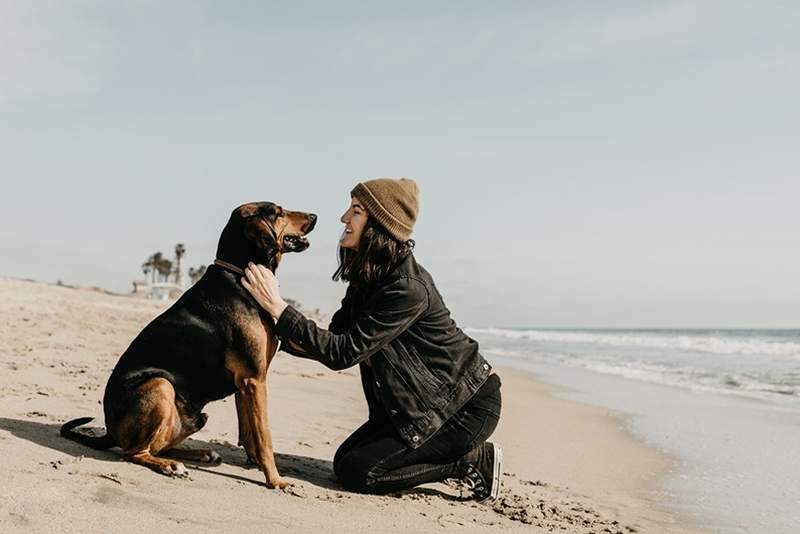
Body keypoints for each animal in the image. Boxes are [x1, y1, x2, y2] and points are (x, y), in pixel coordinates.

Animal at [61, 202, 316, 490]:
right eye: (279, 212)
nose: (315, 216)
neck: (238, 274)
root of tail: (110, 431)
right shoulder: (254, 378)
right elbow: (265, 437)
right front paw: (276, 480)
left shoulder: (245, 382)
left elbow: (250, 432)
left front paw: (256, 465)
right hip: (159, 385)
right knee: (134, 452)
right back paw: (170, 465)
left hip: (192, 415)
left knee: (157, 446)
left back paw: (199, 454)